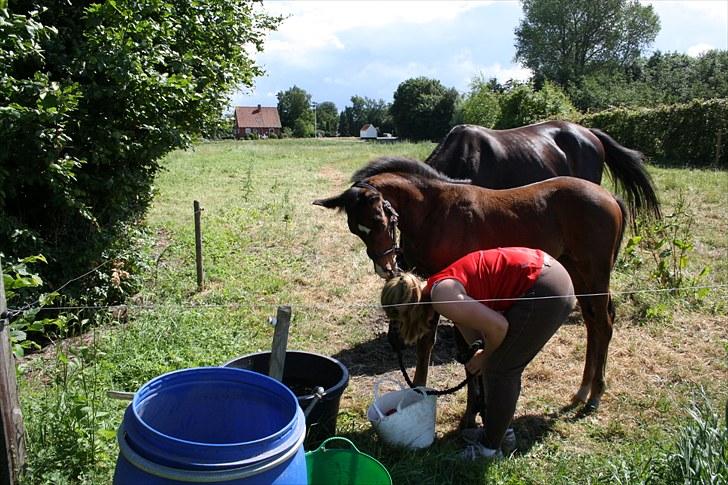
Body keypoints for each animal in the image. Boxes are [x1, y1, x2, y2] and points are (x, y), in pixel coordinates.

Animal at [312, 156, 624, 424]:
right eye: (355, 229)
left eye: (379, 220)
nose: (385, 267)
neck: (435, 212)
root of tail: (610, 197)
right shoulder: (431, 283)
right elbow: (427, 342)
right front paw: (420, 392)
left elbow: (463, 349)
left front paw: (470, 413)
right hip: (577, 273)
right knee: (592, 323)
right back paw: (582, 391)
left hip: (595, 274)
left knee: (604, 324)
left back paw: (594, 396)